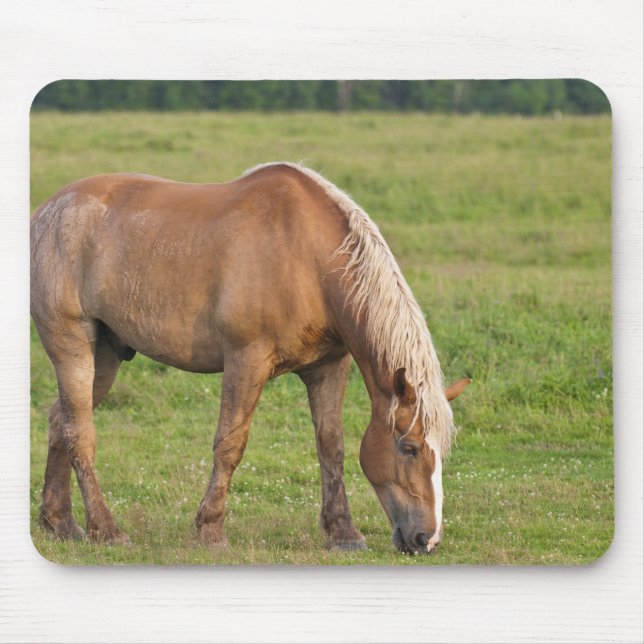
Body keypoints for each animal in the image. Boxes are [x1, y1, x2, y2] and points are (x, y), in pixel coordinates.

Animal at [30, 162, 470, 554]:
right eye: (409, 448)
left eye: (442, 451)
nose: (426, 540)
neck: (307, 257)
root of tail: (47, 211)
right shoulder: (247, 361)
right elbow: (230, 444)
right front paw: (209, 530)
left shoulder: (328, 367)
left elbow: (331, 446)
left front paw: (343, 533)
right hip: (72, 345)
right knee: (79, 434)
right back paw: (106, 530)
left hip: (105, 355)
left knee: (59, 420)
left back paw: (60, 522)